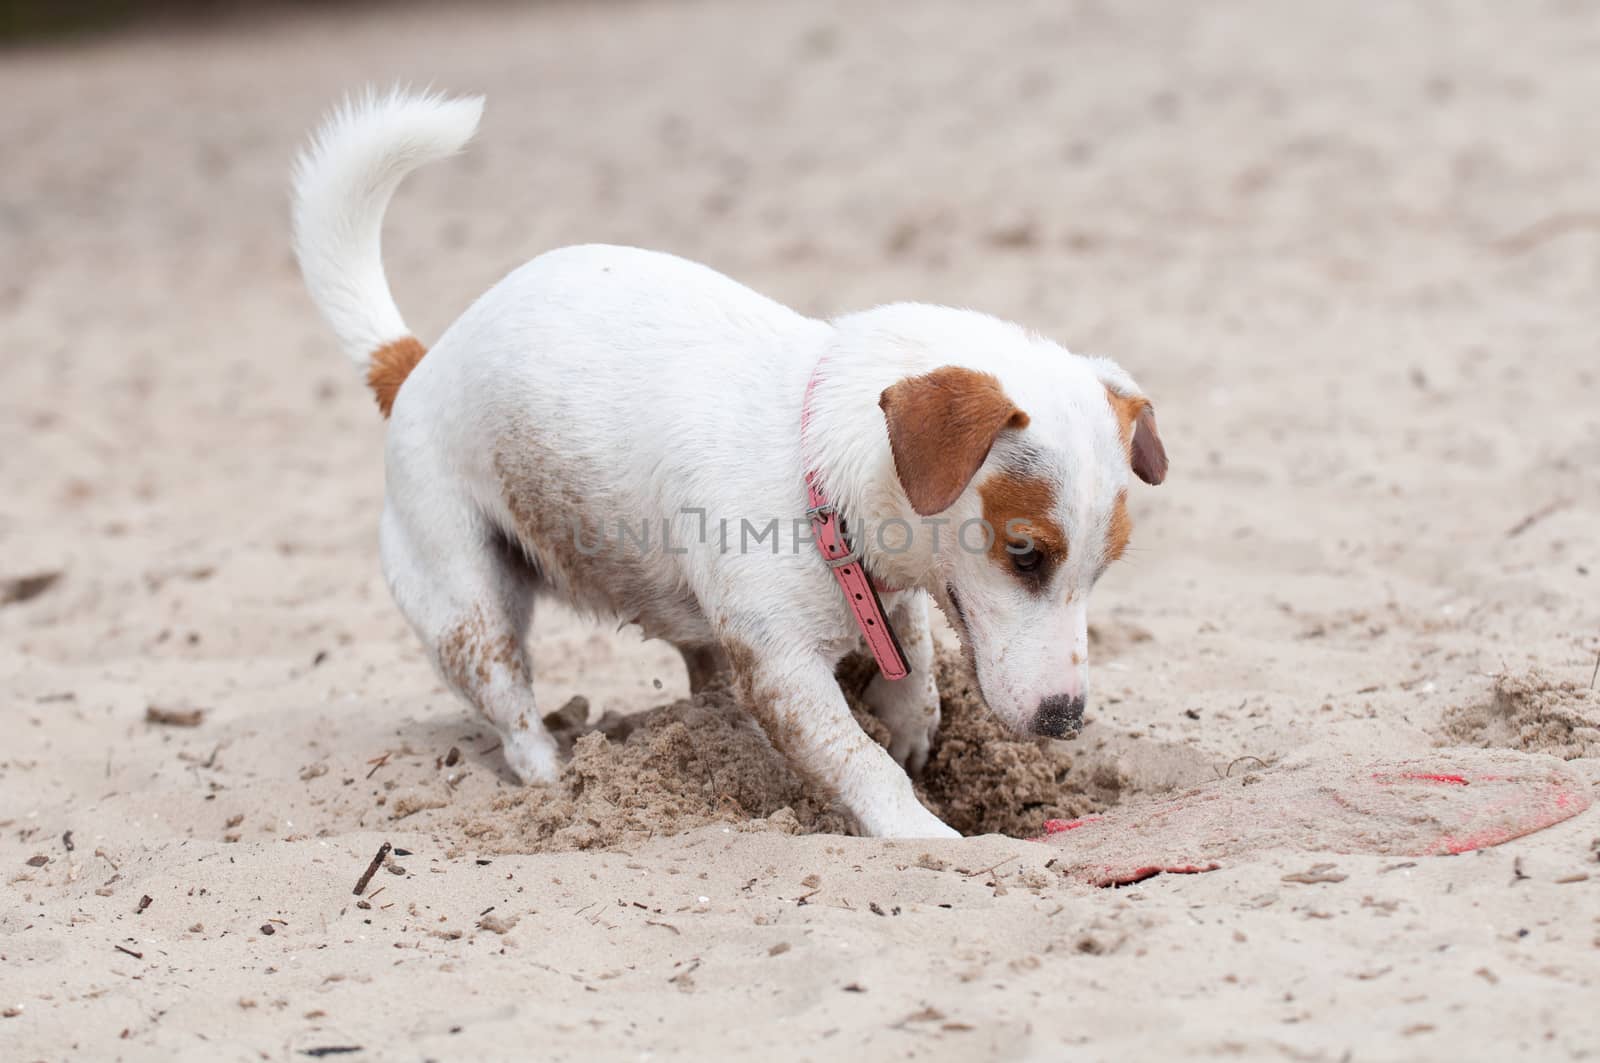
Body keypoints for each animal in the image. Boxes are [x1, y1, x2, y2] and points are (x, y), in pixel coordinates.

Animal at [291, 89, 1164, 838]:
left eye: (1104, 566)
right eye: (1025, 554)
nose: (1064, 720)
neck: (816, 474)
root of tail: (415, 364)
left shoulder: (890, 605)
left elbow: (914, 671)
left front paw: (915, 724)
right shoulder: (783, 670)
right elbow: (862, 762)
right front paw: (925, 831)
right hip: (467, 606)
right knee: (511, 708)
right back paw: (555, 777)